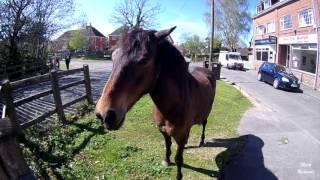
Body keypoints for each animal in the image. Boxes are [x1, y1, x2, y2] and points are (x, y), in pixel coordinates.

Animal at [95, 26, 215, 179]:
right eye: (112, 56)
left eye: (145, 59)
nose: (104, 114)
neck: (174, 106)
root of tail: (207, 70)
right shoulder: (163, 131)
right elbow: (168, 145)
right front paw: (166, 160)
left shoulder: (181, 136)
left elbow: (179, 159)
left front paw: (178, 175)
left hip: (206, 114)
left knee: (204, 124)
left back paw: (201, 141)